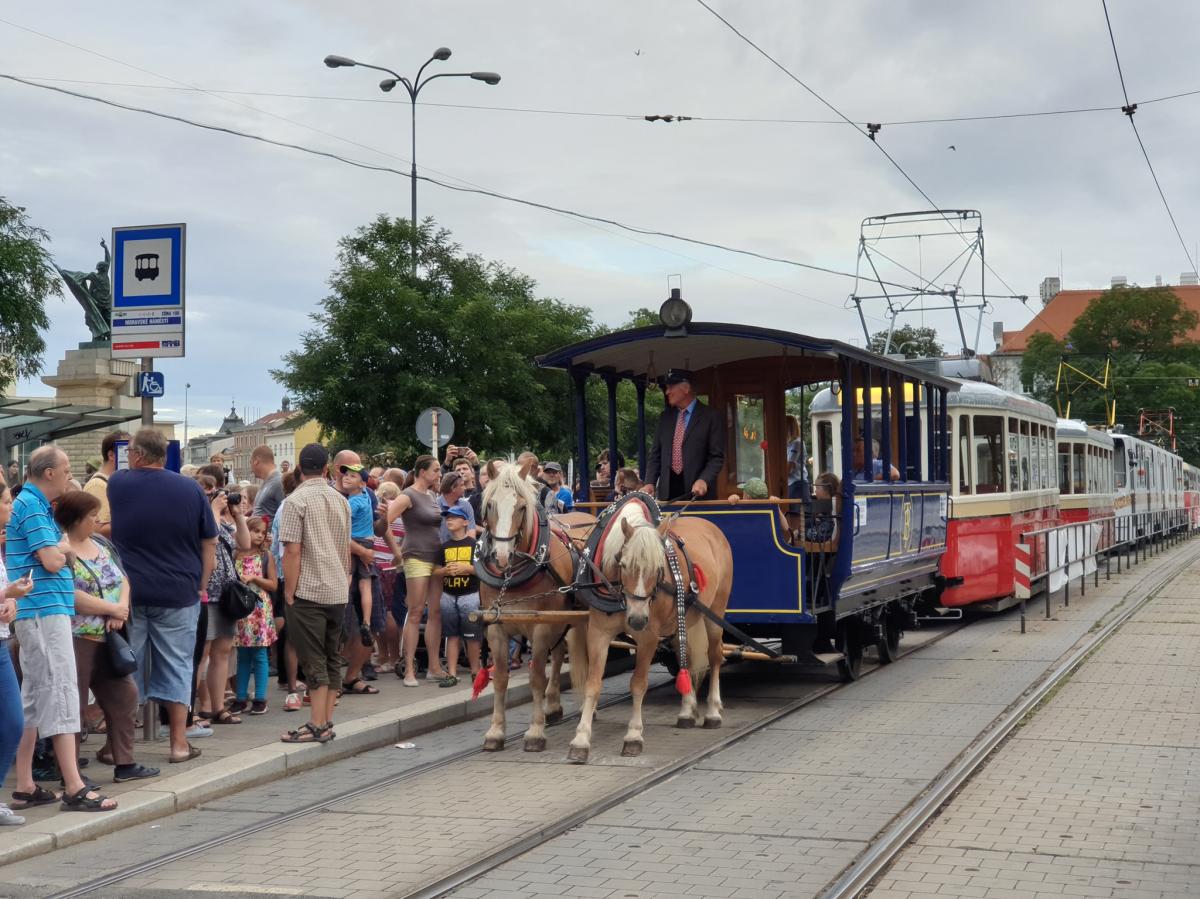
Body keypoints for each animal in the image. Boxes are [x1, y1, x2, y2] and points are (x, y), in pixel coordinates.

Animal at [475, 458, 592, 753]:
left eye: (521, 507)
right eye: (490, 504)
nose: (501, 556)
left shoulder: (540, 626)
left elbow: (537, 676)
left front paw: (535, 732)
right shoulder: (497, 627)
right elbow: (500, 677)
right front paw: (495, 731)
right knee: (560, 650)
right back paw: (553, 706)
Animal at [568, 511, 734, 763]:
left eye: (658, 568)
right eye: (623, 564)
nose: (637, 619)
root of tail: (709, 524)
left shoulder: (648, 638)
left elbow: (638, 683)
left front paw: (633, 735)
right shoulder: (598, 633)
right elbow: (593, 684)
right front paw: (581, 738)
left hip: (715, 611)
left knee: (715, 656)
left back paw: (713, 711)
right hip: (681, 622)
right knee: (687, 660)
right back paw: (687, 711)